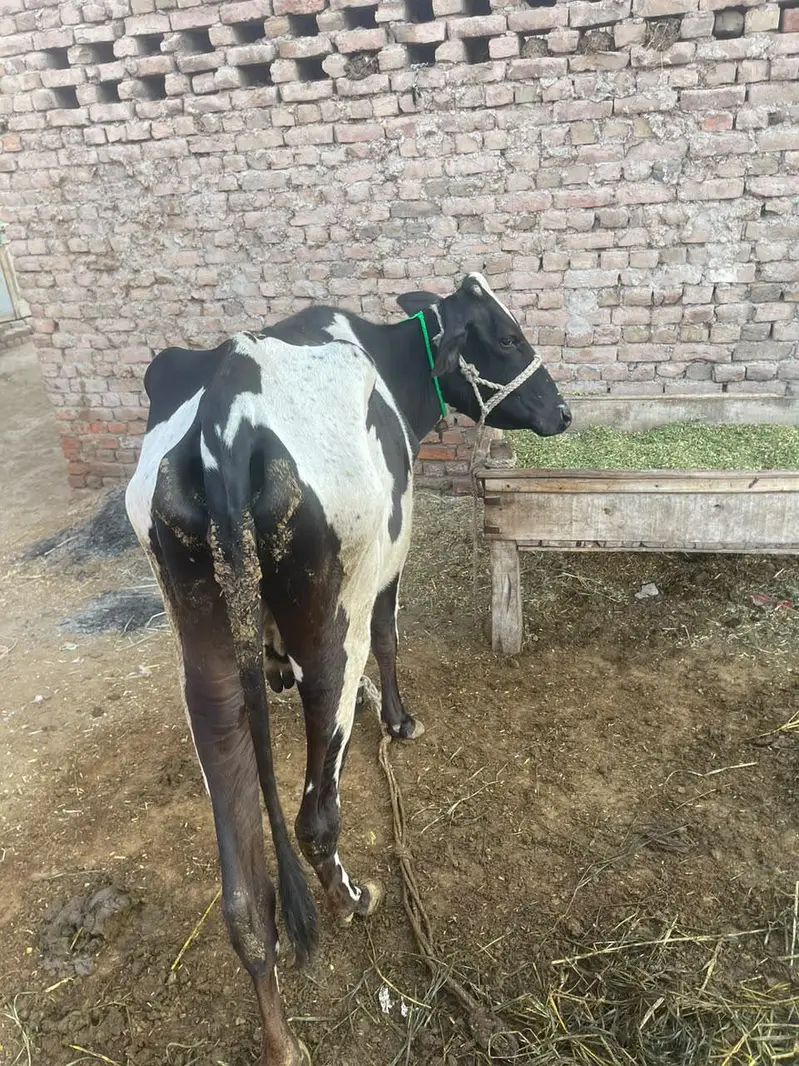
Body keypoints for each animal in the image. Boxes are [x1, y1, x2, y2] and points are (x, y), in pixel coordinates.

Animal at [124, 273, 571, 1065]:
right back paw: (352, 898)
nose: (563, 411)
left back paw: (280, 1040)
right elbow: (392, 637)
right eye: (508, 336)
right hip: (334, 634)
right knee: (313, 815)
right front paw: (398, 720)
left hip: (203, 662)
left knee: (244, 896)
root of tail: (226, 415)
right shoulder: (389, 562)